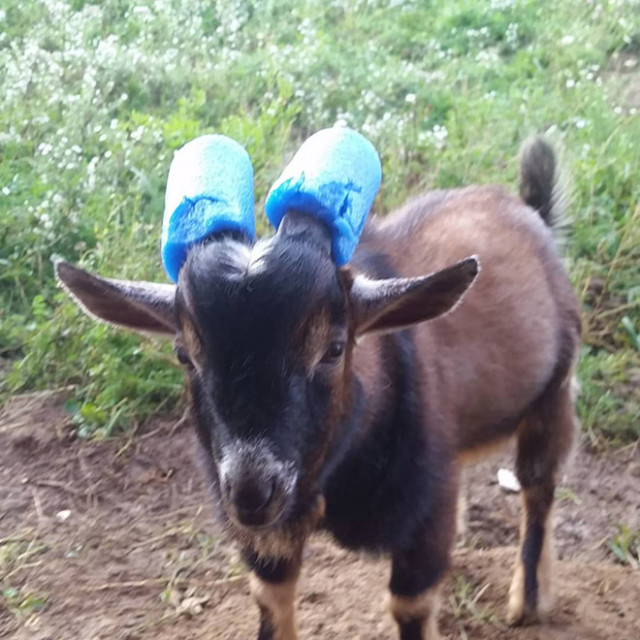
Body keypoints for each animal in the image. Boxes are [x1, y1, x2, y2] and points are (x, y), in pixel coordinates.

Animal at [57, 139, 584, 640]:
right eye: (185, 353)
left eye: (333, 348)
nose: (252, 493)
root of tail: (529, 211)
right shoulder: (267, 538)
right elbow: (270, 597)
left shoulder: (427, 515)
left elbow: (409, 605)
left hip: (554, 394)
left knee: (538, 487)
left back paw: (528, 602)